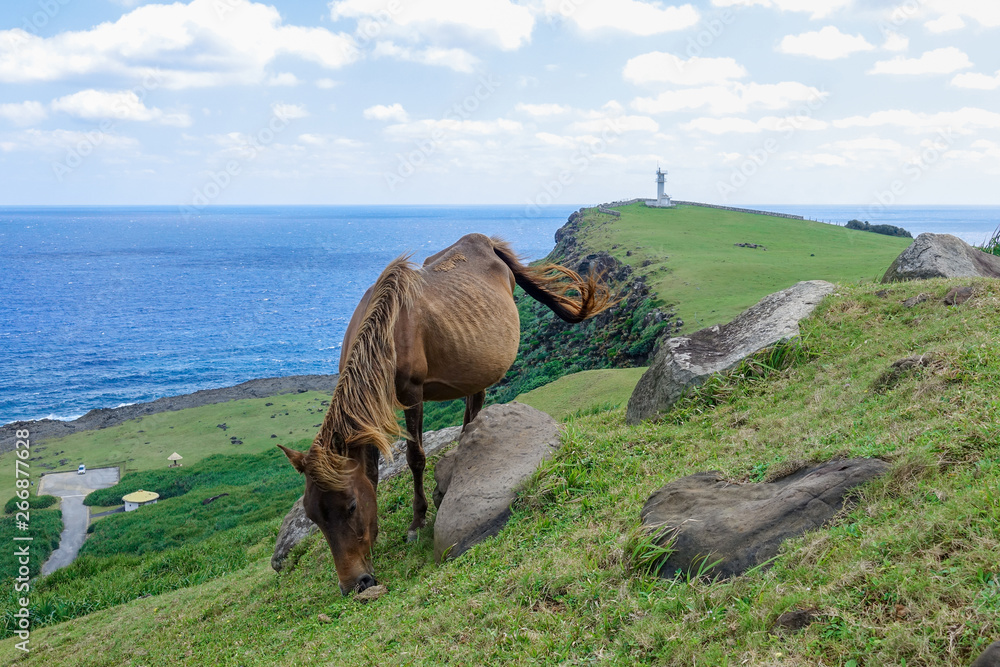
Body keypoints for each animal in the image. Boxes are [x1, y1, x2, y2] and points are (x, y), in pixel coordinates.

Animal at [278, 233, 615, 595]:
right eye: (313, 517)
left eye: (351, 505)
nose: (355, 584)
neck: (386, 332)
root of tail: (487, 242)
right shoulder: (370, 415)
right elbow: (371, 473)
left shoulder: (411, 395)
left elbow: (415, 457)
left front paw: (416, 522)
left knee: (475, 405)